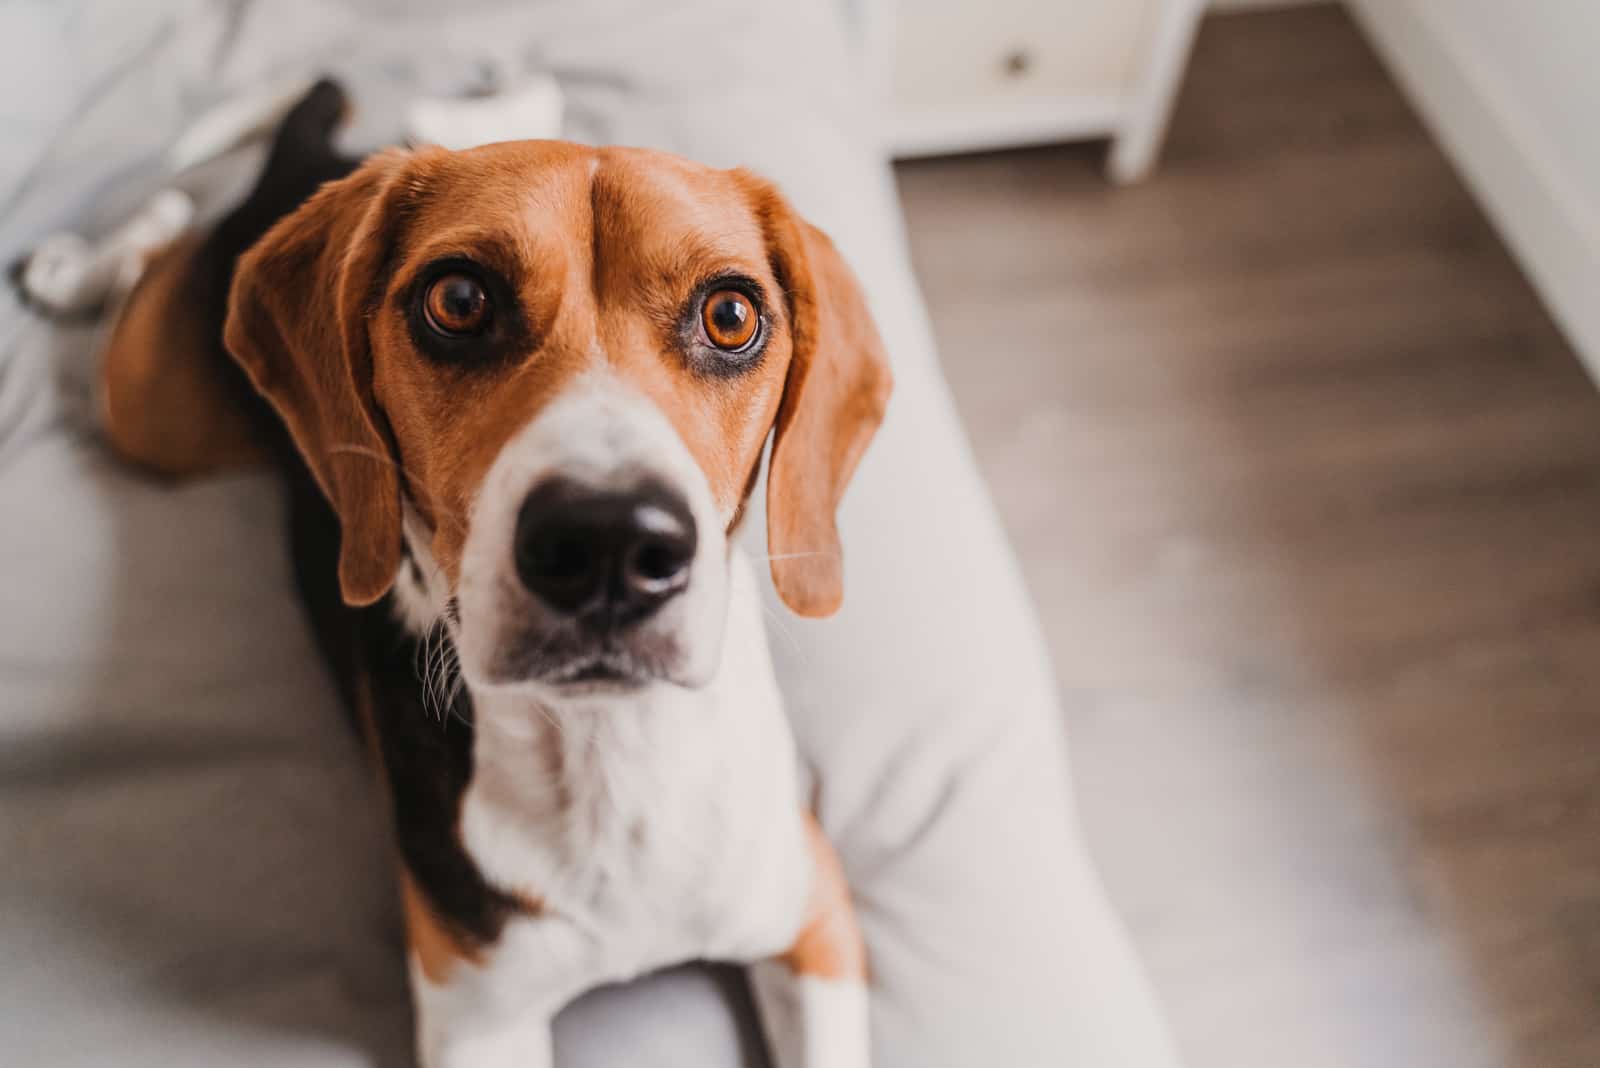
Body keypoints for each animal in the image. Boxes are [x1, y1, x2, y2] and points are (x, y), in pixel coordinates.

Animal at [95, 81, 896, 1068]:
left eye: (731, 316)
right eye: (459, 300)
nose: (608, 544)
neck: (606, 753)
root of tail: (310, 163)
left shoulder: (817, 920)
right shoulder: (479, 1019)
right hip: (149, 412)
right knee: (154, 252)